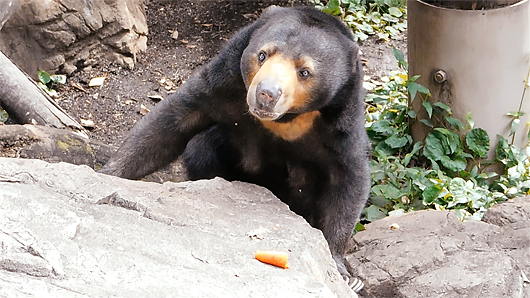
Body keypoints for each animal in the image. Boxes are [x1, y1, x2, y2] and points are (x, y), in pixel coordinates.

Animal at [101, 5, 370, 292]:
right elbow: (173, 119)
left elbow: (348, 180)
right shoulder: (225, 83)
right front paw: (107, 173)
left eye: (304, 71)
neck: (286, 120)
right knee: (201, 148)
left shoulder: (342, 123)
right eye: (262, 55)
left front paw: (344, 273)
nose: (266, 94)